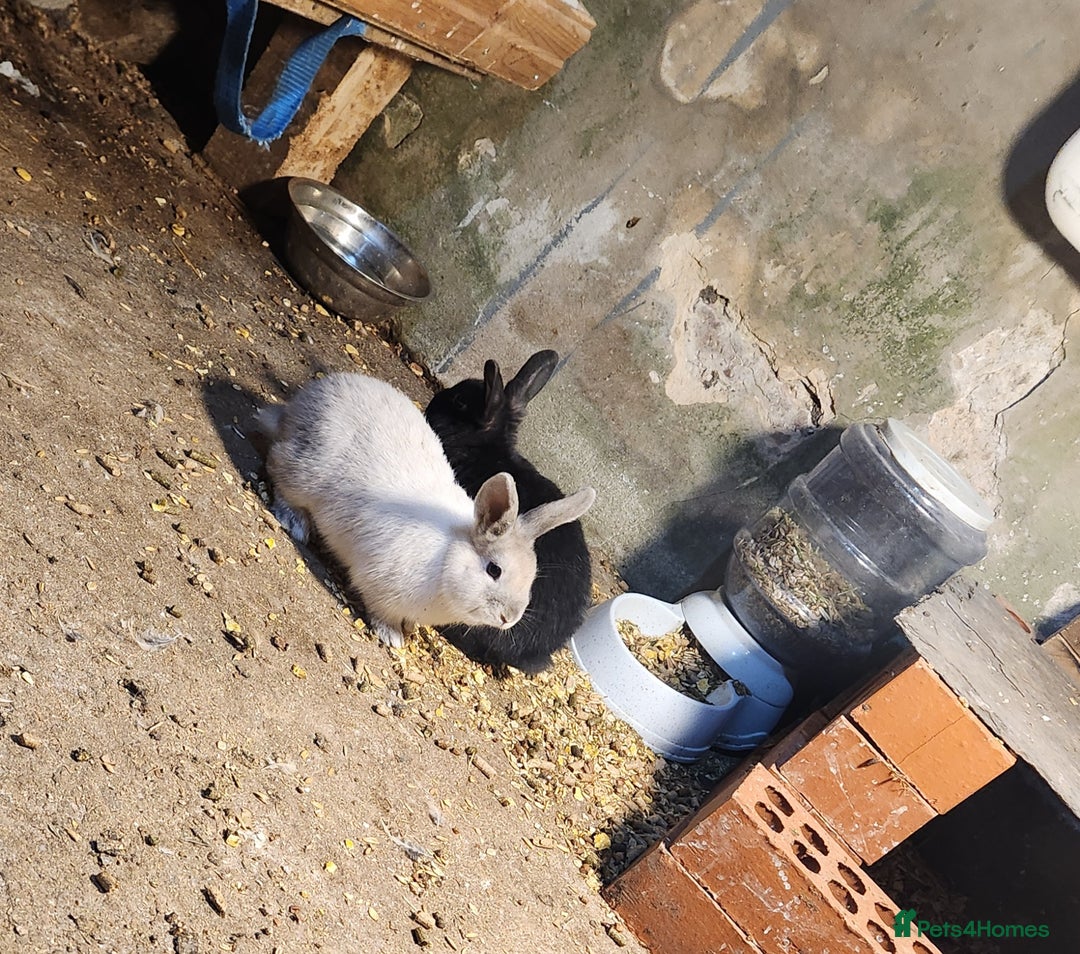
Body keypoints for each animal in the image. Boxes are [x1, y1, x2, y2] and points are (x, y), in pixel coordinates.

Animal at [256, 371, 596, 650]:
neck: (448, 559)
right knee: (277, 466)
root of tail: (301, 404)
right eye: (494, 570)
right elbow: (382, 611)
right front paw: (393, 636)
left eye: (532, 577)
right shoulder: (378, 583)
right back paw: (295, 520)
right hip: (303, 472)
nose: (508, 618)